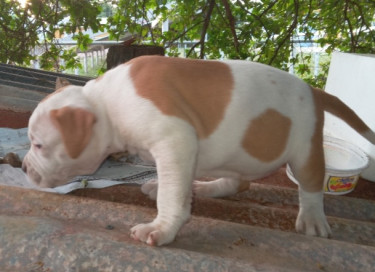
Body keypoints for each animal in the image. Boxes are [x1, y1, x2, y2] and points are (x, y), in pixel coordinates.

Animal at [22, 55, 375, 246]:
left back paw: (313, 218)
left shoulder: (175, 140)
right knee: (237, 183)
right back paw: (203, 187)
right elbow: (174, 185)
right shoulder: (178, 153)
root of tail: (312, 91)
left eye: (39, 144)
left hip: (305, 150)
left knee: (310, 186)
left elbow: (172, 196)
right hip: (233, 155)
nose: (24, 168)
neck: (106, 104)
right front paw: (165, 189)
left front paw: (162, 228)